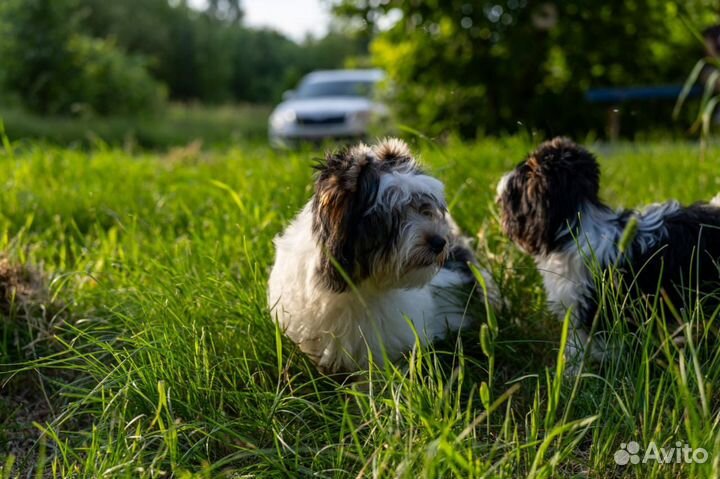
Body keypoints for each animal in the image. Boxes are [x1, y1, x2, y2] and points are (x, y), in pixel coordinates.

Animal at [498, 137, 720, 370]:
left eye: (523, 171)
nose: (503, 179)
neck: (578, 225)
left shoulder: (593, 309)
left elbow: (584, 344)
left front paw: (574, 371)